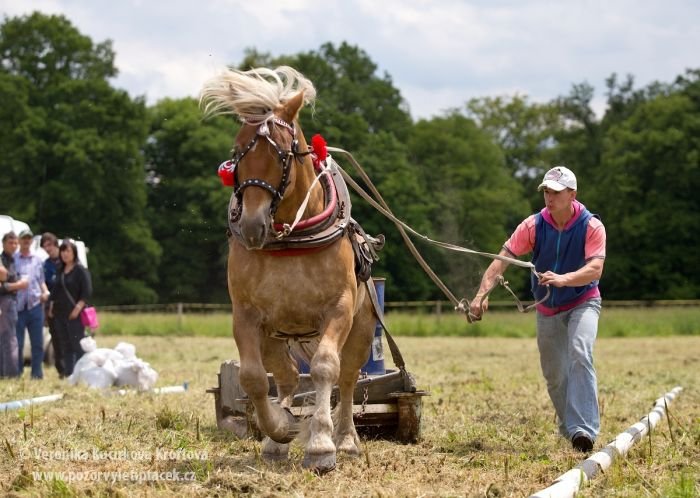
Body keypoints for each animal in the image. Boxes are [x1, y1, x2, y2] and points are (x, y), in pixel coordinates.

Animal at [200, 67, 380, 474]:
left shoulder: (339, 310)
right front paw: (281, 428)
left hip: (361, 329)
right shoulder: (246, 315)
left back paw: (347, 439)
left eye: (282, 153)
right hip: (276, 334)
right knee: (285, 376)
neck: (290, 238)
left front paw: (321, 445)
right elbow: (253, 378)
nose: (252, 225)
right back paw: (276, 440)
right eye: (237, 152)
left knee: (348, 379)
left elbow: (326, 368)